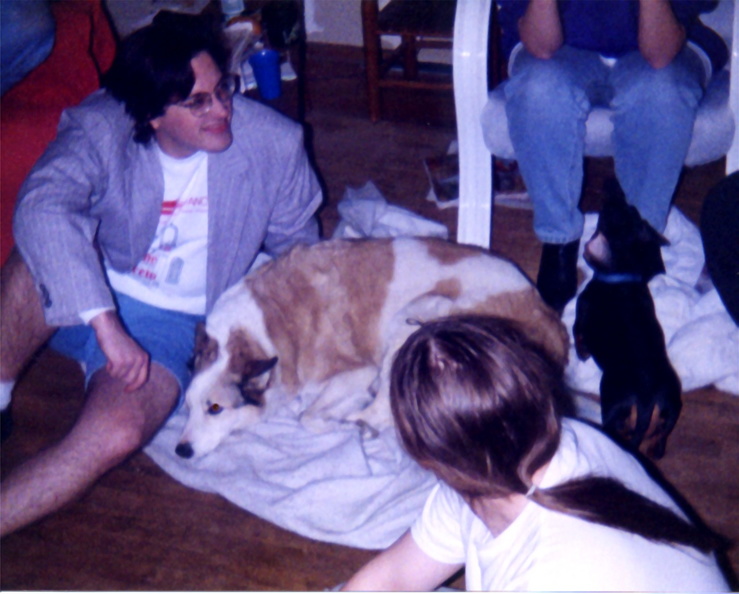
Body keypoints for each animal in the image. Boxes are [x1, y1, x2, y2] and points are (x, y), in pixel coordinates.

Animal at [176, 237, 568, 458]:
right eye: (188, 406)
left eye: (215, 409)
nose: (181, 451)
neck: (265, 328)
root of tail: (550, 322)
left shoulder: (357, 371)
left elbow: (307, 417)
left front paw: (337, 423)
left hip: (414, 319)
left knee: (381, 409)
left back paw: (360, 423)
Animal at [580, 182, 684, 458]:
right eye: (632, 211)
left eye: (610, 214)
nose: (613, 190)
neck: (622, 278)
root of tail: (648, 402)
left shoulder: (581, 315)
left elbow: (578, 335)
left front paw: (582, 353)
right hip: (671, 411)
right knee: (657, 441)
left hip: (612, 404)